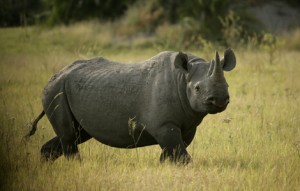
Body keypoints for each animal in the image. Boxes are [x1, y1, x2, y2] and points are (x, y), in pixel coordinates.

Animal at [27, 48, 236, 163]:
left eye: (227, 85)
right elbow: (180, 154)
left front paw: (163, 165)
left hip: (66, 90)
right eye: (198, 88)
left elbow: (173, 151)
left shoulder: (186, 125)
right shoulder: (164, 124)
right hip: (56, 90)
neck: (183, 77)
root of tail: (53, 77)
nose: (219, 100)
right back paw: (77, 166)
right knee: (70, 136)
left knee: (76, 134)